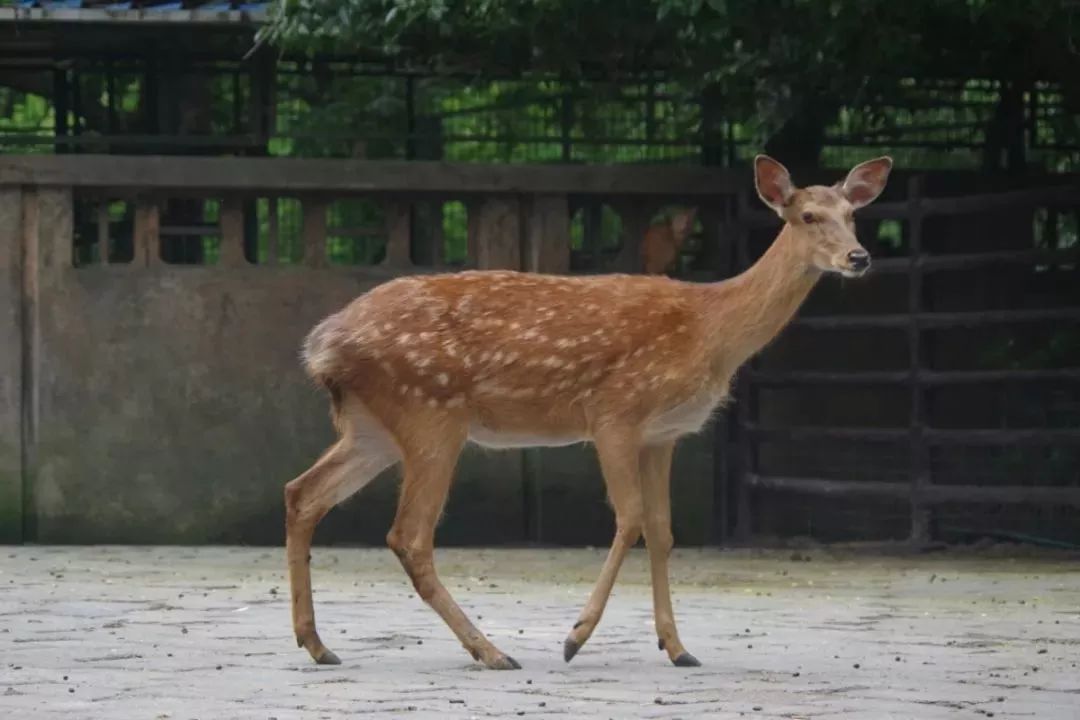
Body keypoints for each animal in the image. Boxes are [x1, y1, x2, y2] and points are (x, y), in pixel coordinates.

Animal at [285, 152, 894, 669]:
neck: (710, 331)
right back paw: (491, 651)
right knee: (408, 535)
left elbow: (663, 532)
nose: (859, 257)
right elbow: (629, 520)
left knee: (303, 493)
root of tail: (320, 344)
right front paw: (575, 637)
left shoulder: (663, 434)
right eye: (808, 215)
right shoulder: (614, 412)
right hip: (430, 415)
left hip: (374, 429)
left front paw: (678, 648)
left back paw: (318, 644)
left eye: (854, 216)